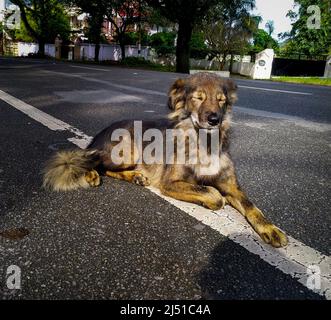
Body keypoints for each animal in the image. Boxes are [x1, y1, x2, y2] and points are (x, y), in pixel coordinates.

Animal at [43, 72, 288, 248]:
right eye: (198, 98)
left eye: (221, 101)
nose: (214, 119)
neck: (203, 143)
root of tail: (99, 135)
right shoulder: (170, 183)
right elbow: (212, 194)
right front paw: (212, 199)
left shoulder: (232, 186)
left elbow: (252, 206)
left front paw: (270, 229)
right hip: (127, 150)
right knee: (95, 162)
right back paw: (91, 174)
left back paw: (136, 176)